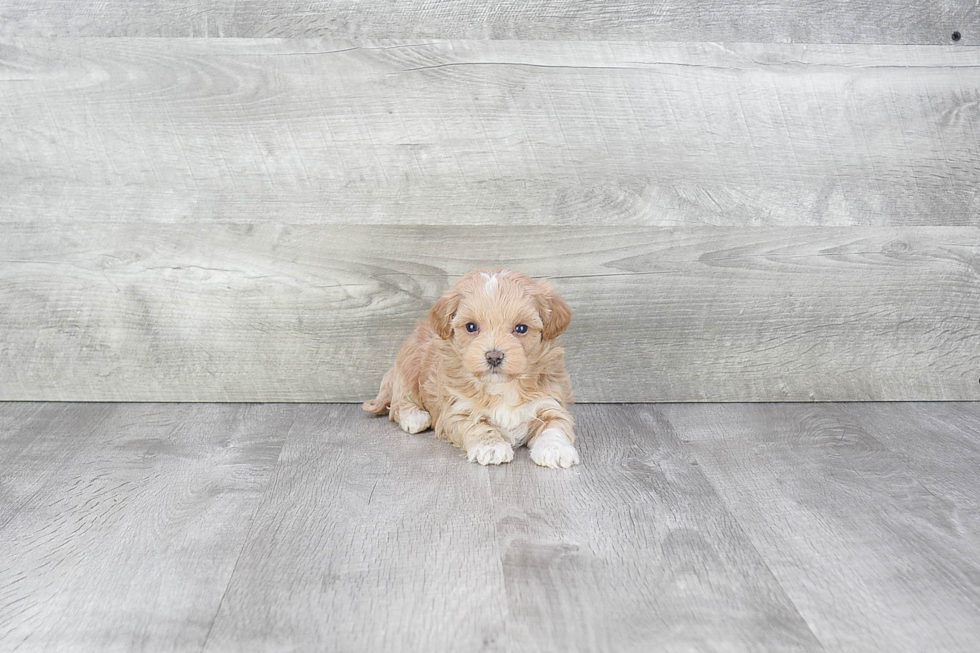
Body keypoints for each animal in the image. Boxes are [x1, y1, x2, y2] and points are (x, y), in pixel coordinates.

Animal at [364, 268, 580, 466]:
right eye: (471, 327)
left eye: (521, 328)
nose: (494, 356)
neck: (502, 387)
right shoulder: (457, 409)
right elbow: (475, 425)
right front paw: (491, 447)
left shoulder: (550, 401)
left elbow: (556, 425)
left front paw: (555, 449)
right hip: (409, 366)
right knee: (400, 401)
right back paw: (414, 416)